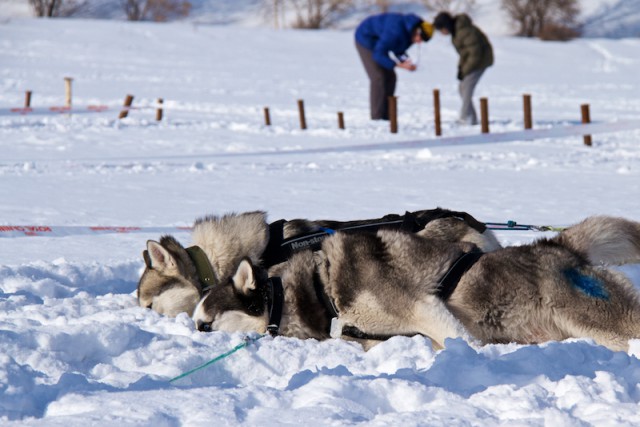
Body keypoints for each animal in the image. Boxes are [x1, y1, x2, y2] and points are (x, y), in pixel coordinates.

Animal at [138, 210, 640, 352]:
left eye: (205, 324)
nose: (190, 338)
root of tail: (560, 244)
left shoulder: (424, 308)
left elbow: (454, 340)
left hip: (593, 318)